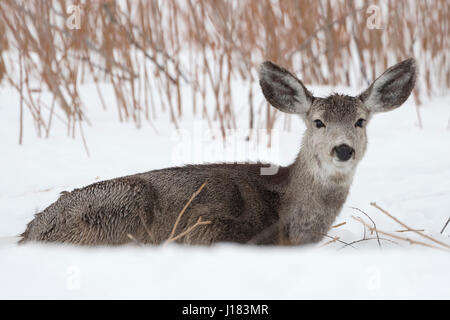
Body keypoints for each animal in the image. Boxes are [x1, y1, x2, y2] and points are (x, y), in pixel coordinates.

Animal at [19, 58, 416, 246]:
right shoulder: (208, 230)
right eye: (317, 122)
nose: (343, 149)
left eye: (360, 121)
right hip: (121, 207)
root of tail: (32, 232)